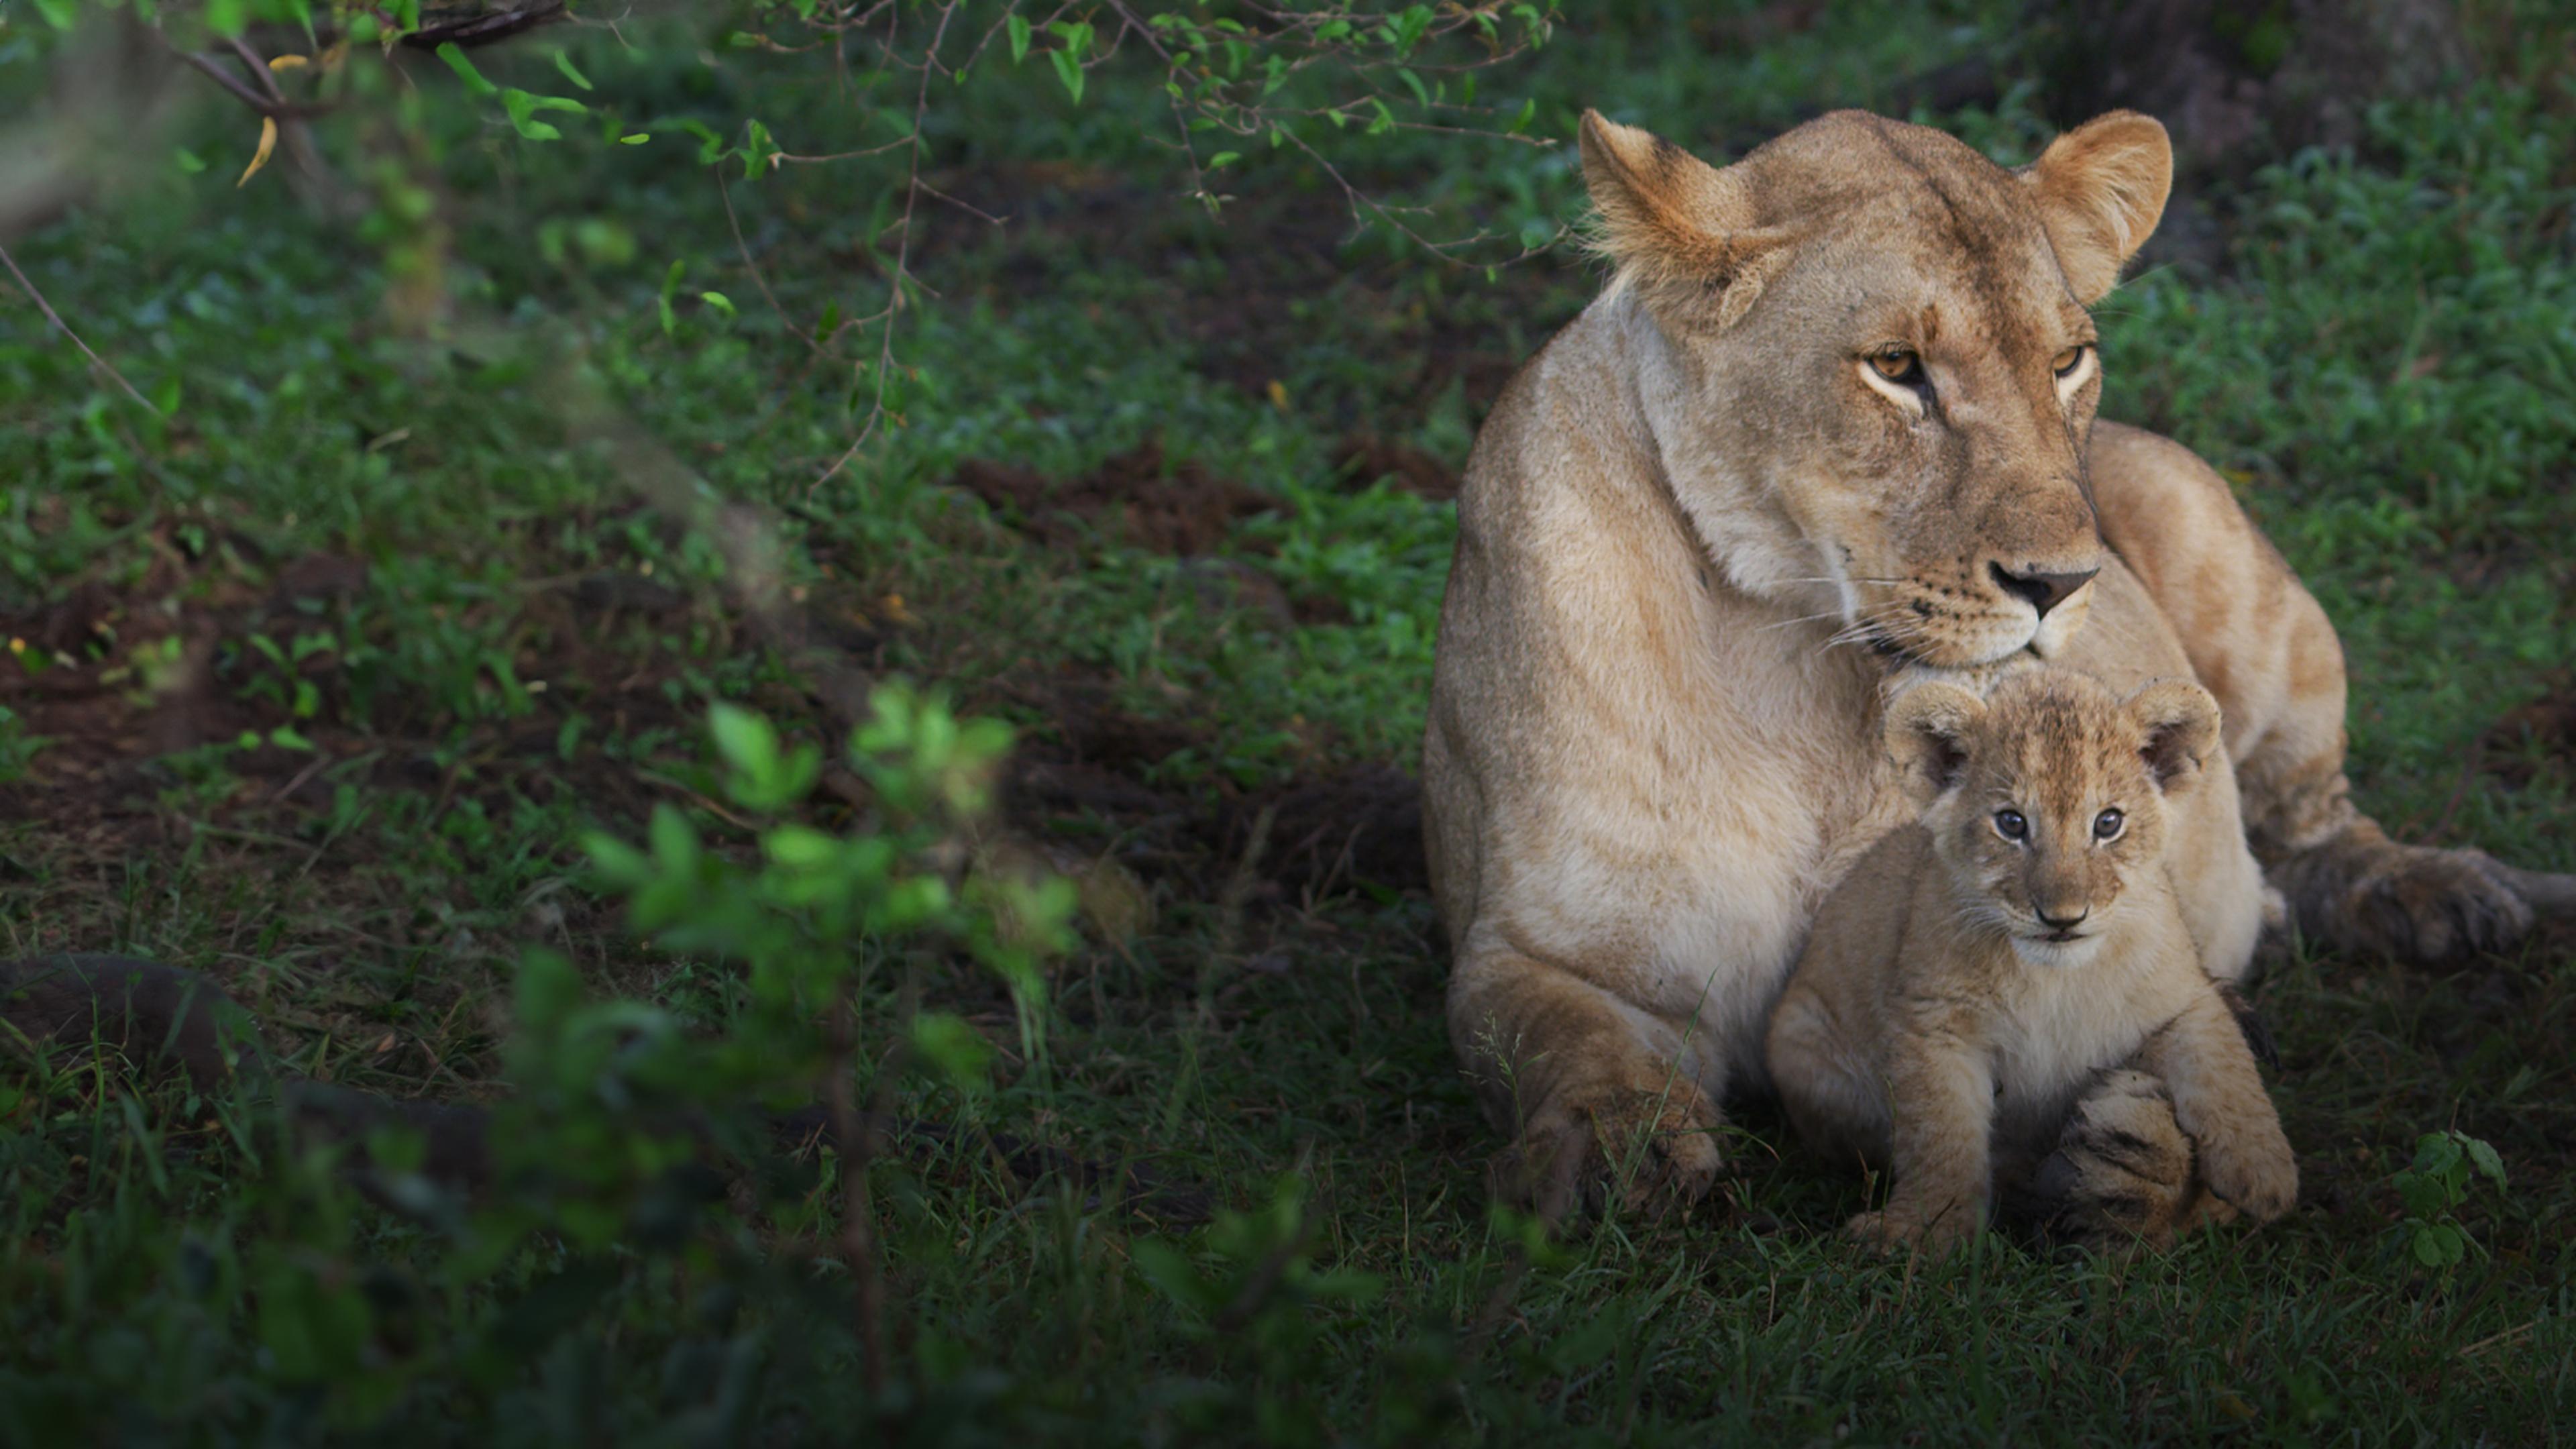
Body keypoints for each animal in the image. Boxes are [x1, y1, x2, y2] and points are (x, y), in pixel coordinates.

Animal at [1766, 669, 2298, 1253]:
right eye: (2012, 823)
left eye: (2108, 823)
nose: (2062, 918)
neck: (2054, 981)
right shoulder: (1935, 1025)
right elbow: (1939, 1135)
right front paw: (1923, 1231)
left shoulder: (2184, 997)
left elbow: (2223, 1064)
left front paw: (2265, 1173)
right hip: (1802, 1043)